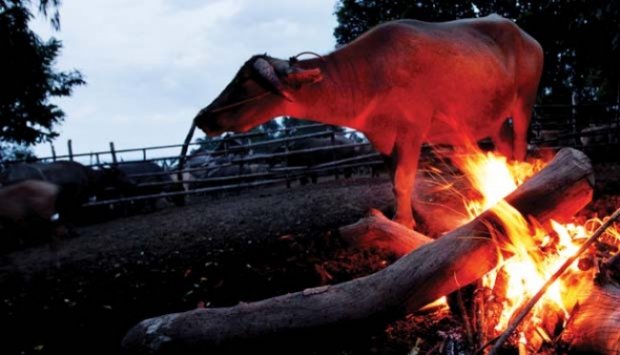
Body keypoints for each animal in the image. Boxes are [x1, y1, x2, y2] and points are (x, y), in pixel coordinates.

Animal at [194, 14, 544, 228]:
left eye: (244, 81)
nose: (202, 117)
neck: (371, 75)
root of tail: (528, 38)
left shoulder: (412, 131)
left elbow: (403, 180)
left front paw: (404, 223)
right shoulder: (383, 139)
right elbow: (394, 182)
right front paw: (404, 217)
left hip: (524, 104)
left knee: (520, 146)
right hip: (495, 120)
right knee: (504, 149)